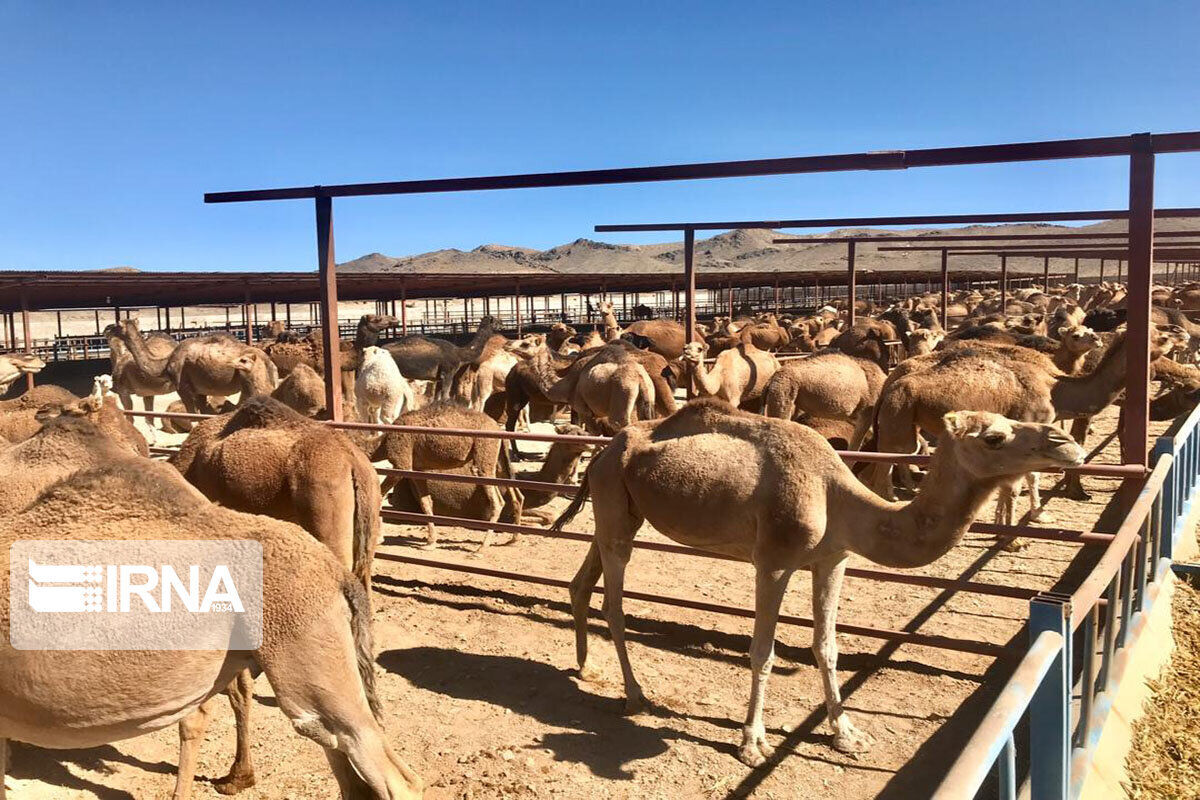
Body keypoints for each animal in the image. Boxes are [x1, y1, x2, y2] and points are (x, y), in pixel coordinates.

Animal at [364, 400, 516, 551]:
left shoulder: (401, 462)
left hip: (484, 452)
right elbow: (426, 502)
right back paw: (511, 539)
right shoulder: (417, 469)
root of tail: (497, 429)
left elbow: (380, 494)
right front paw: (430, 542)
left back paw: (482, 548)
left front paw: (379, 538)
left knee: (497, 501)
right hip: (497, 460)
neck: (383, 443)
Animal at [556, 402, 1084, 767]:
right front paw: (753, 743)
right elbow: (762, 652)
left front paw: (846, 733)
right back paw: (634, 694)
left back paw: (584, 664)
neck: (839, 497)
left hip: (620, 509)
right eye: (994, 436)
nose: (1066, 444)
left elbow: (827, 645)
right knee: (614, 604)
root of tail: (603, 451)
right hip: (614, 502)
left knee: (582, 581)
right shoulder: (773, 561)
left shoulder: (833, 561)